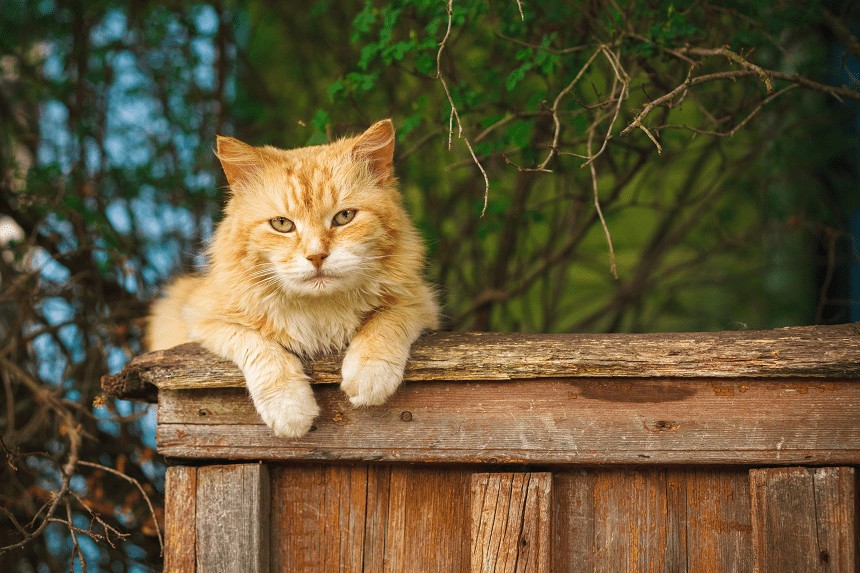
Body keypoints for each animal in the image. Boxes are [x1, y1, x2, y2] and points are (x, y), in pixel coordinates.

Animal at [145, 118, 440, 436]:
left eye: (344, 217)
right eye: (282, 224)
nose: (316, 256)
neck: (318, 310)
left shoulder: (420, 303)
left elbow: (385, 322)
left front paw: (369, 373)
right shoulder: (200, 317)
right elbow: (259, 345)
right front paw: (289, 409)